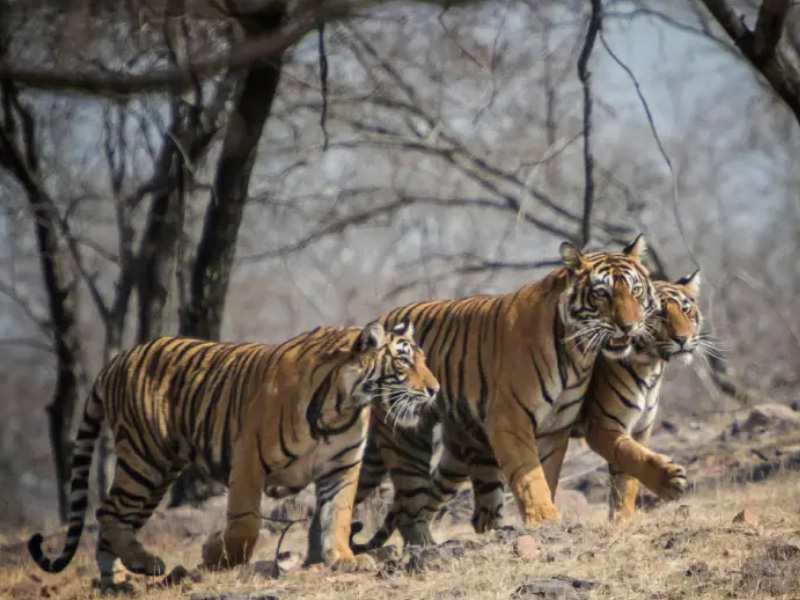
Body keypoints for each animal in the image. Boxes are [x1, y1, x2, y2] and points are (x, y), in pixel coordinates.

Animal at [28, 322, 438, 584]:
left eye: (425, 359)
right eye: (403, 361)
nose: (435, 389)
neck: (344, 404)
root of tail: (116, 360)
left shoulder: (342, 466)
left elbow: (337, 515)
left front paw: (345, 559)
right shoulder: (248, 461)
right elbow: (245, 526)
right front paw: (214, 553)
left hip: (156, 471)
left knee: (114, 520)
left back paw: (119, 579)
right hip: (146, 460)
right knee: (108, 512)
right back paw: (143, 564)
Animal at [348, 236, 656, 552]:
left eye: (635, 291)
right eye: (602, 294)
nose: (629, 326)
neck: (578, 353)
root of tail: (379, 321)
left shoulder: (555, 428)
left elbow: (547, 474)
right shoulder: (510, 419)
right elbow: (530, 476)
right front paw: (545, 519)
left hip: (458, 447)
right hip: (407, 437)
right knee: (408, 505)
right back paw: (425, 546)